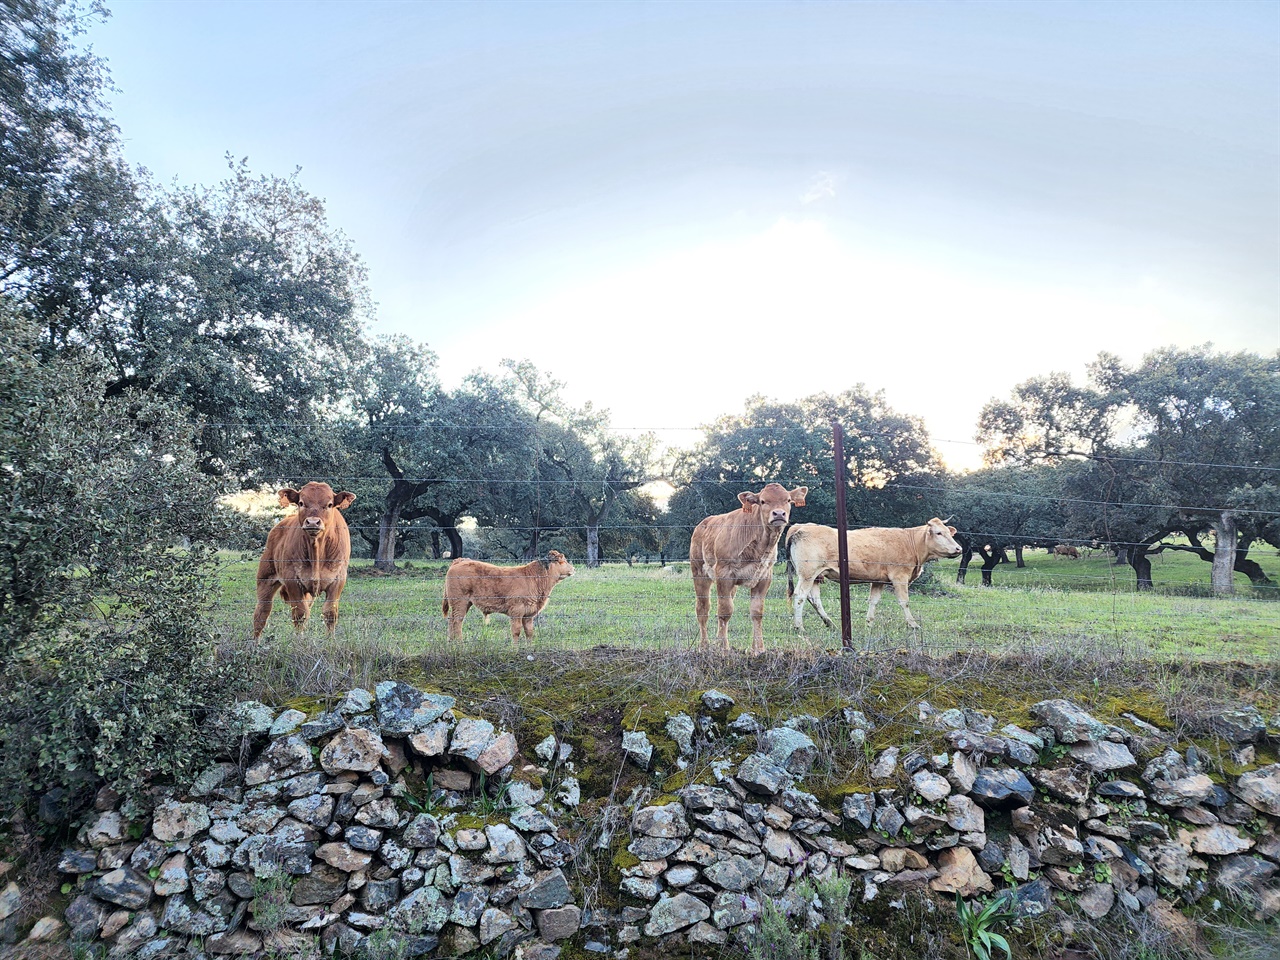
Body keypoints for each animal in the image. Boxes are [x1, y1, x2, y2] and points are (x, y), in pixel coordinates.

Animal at [250, 483, 355, 642]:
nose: (312, 522)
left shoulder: (338, 579)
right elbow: (300, 614)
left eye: (329, 504)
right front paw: (299, 642)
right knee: (261, 613)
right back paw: (255, 643)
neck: (317, 552)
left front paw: (330, 642)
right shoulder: (292, 579)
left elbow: (330, 613)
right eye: (301, 503)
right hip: (265, 578)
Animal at [445, 547, 576, 647]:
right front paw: (515, 649)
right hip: (460, 602)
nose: (574, 569)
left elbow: (529, 632)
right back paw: (460, 644)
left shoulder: (528, 614)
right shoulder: (516, 611)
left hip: (463, 604)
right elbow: (516, 631)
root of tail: (460, 560)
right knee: (457, 622)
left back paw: (451, 643)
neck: (534, 578)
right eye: (562, 561)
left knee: (452, 620)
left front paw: (529, 648)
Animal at [691, 483, 808, 660]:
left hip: (731, 586)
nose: (779, 513)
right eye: (763, 501)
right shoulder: (724, 575)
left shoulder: (764, 577)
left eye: (788, 500)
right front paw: (724, 650)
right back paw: (704, 647)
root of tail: (703, 523)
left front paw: (758, 650)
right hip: (700, 574)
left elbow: (756, 612)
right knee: (703, 609)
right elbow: (725, 612)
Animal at [783, 519, 962, 632]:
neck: (910, 542)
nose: (958, 548)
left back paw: (830, 623)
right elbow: (904, 602)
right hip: (807, 574)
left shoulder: (878, 580)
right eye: (938, 533)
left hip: (816, 576)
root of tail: (800, 527)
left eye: (949, 533)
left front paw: (869, 624)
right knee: (800, 596)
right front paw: (913, 624)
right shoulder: (900, 577)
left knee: (814, 599)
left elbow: (873, 601)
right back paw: (799, 626)